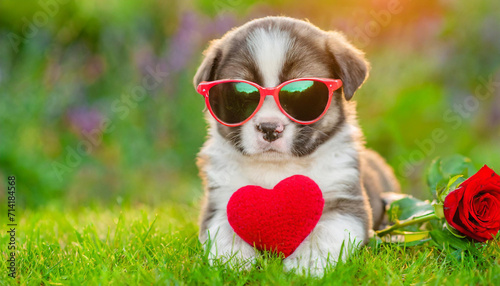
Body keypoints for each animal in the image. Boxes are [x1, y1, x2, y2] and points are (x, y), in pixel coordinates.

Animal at [193, 16, 400, 274]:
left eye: (301, 93)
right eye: (240, 94)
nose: (269, 128)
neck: (278, 167)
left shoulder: (346, 200)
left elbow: (324, 231)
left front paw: (308, 263)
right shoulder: (220, 199)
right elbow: (223, 228)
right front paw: (233, 258)